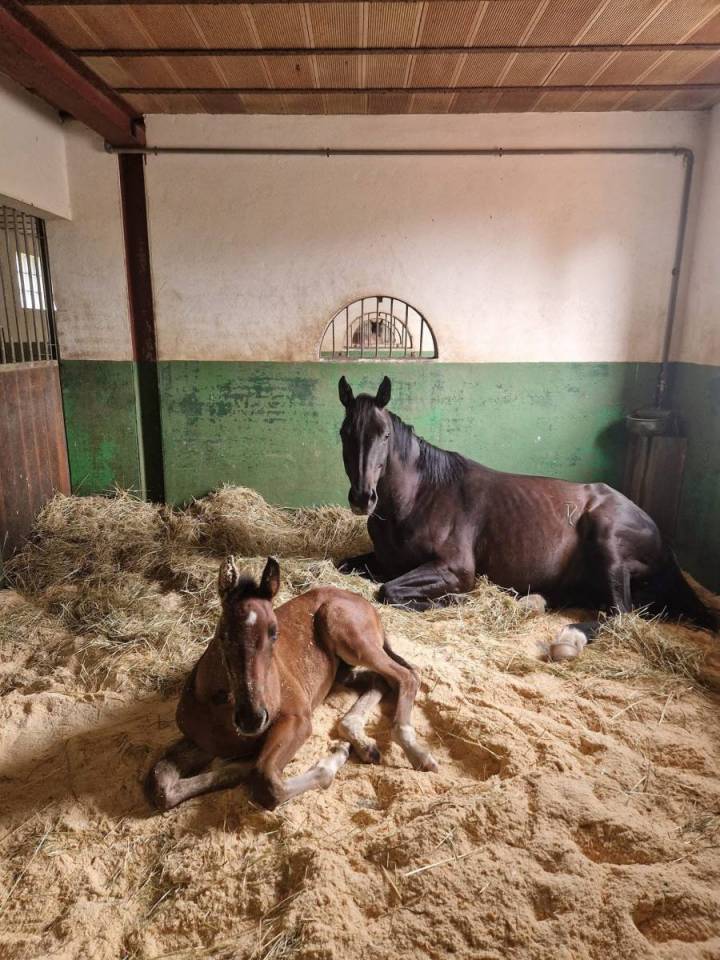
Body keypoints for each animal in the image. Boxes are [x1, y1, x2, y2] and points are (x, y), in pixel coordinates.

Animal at [145, 556, 437, 812]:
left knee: (405, 676)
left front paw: (335, 758)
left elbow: (267, 781)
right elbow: (162, 784)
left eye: (274, 632)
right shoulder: (202, 742)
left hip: (348, 635)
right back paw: (364, 744)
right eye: (223, 634)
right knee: (381, 680)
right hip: (342, 670)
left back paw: (417, 753)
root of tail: (364, 602)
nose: (252, 718)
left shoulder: (297, 719)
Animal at [336, 376, 716, 654]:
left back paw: (569, 636)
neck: (421, 496)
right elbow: (345, 567)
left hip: (607, 540)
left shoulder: (454, 569)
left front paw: (458, 600)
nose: (363, 498)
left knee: (620, 614)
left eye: (385, 435)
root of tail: (663, 543)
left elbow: (388, 591)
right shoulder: (384, 560)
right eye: (344, 433)